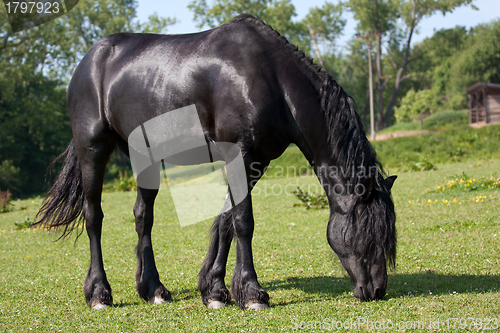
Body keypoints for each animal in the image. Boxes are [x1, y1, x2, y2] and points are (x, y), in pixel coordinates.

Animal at [35, 14, 396, 310]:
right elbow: (244, 222)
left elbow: (225, 220)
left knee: (143, 217)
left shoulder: (256, 161)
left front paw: (214, 290)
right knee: (93, 217)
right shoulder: (240, 154)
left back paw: (153, 289)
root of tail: (90, 59)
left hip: (145, 157)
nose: (377, 290)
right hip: (92, 149)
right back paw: (99, 293)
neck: (271, 79)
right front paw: (251, 293)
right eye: (369, 233)